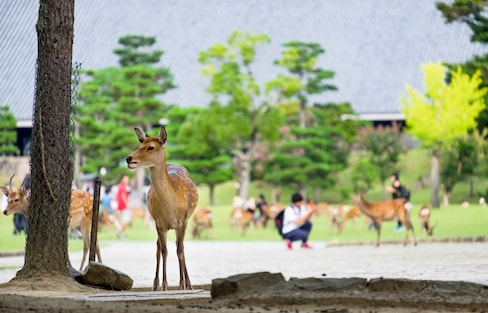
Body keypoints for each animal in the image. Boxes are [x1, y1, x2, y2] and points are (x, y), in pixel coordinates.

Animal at [126, 125, 198, 290]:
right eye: (139, 145)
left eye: (151, 147)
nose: (129, 158)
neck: (170, 207)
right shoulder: (159, 223)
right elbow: (164, 251)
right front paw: (164, 285)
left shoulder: (182, 221)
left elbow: (180, 250)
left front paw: (183, 284)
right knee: (158, 247)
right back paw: (155, 284)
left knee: (180, 246)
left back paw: (187, 283)